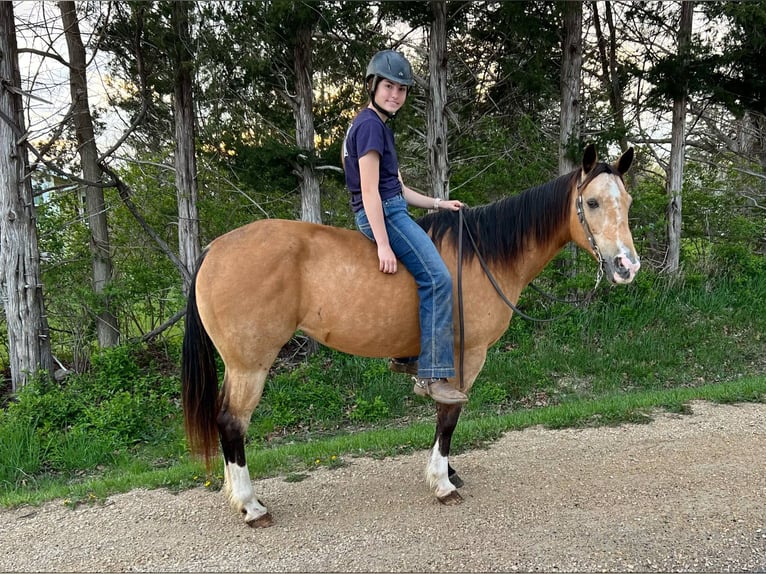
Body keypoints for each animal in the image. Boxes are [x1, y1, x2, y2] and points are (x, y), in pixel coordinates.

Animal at [182, 144, 640, 527]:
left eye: (628, 202)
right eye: (592, 202)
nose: (626, 266)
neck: (484, 254)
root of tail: (214, 249)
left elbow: (442, 417)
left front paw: (449, 470)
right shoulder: (468, 355)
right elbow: (449, 415)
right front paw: (442, 482)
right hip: (250, 364)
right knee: (232, 422)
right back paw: (251, 505)